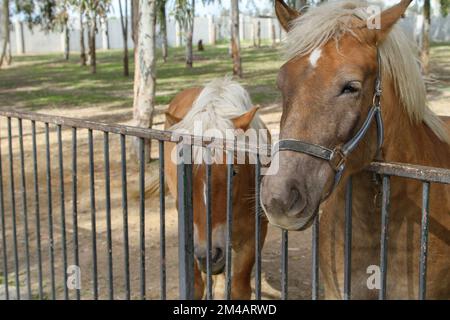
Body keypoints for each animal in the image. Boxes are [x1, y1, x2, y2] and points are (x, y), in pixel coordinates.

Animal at [162, 78, 268, 300]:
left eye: (233, 172)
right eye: (182, 172)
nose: (209, 255)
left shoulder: (254, 236)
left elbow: (239, 289)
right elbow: (195, 287)